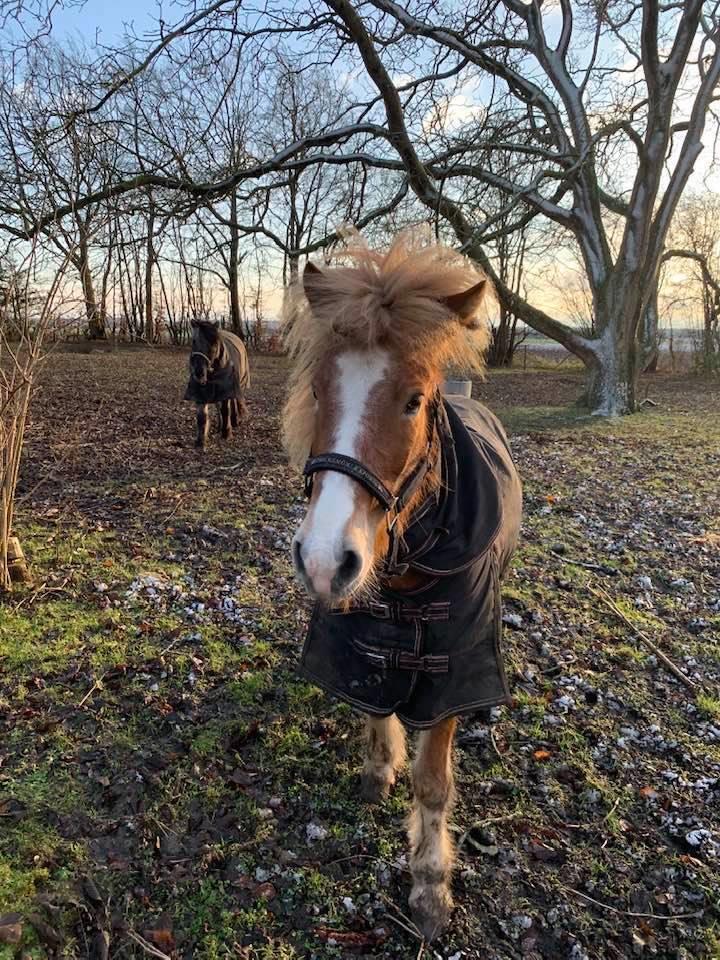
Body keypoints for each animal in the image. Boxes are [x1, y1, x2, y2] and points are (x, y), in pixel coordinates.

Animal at [183, 318, 250, 446]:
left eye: (214, 344)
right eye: (194, 341)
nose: (199, 372)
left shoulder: (225, 389)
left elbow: (225, 409)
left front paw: (227, 433)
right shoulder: (201, 391)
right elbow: (202, 416)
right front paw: (201, 440)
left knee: (233, 402)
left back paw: (234, 421)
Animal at [282, 234, 524, 944]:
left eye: (415, 400)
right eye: (317, 390)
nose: (324, 558)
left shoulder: (450, 670)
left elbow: (434, 782)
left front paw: (430, 885)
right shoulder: (360, 638)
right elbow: (373, 705)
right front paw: (377, 768)